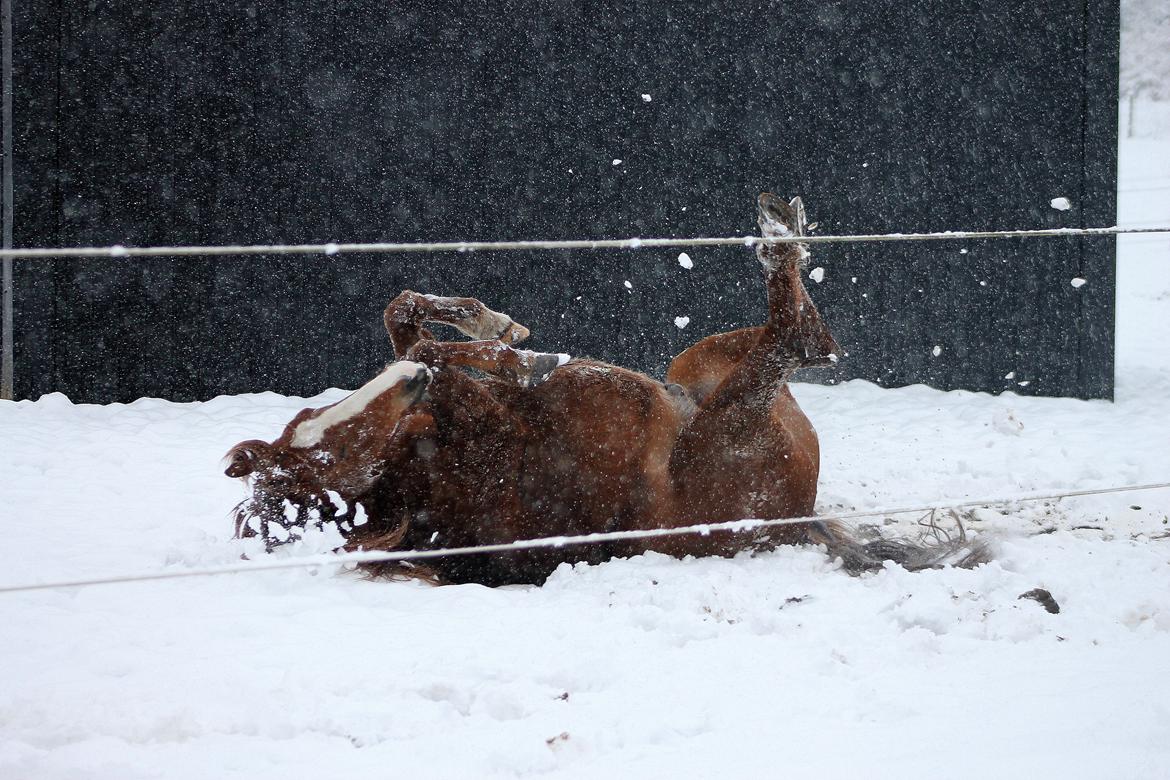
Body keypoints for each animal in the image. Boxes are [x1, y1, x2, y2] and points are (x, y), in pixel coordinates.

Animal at [223, 195, 982, 584]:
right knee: (798, 335)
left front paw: (492, 327)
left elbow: (406, 318)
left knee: (809, 336)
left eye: (314, 420)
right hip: (732, 411)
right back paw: (777, 236)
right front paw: (518, 353)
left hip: (698, 362)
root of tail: (795, 523)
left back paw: (780, 228)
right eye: (341, 460)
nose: (408, 388)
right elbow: (453, 352)